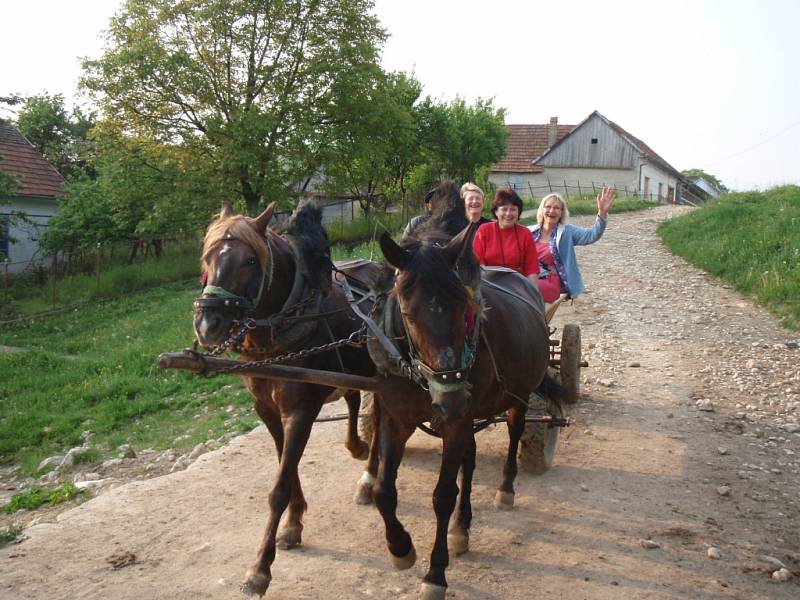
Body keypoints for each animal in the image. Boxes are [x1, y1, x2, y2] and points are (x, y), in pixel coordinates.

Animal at [194, 200, 382, 596]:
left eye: (250, 261)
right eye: (206, 257)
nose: (207, 325)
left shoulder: (300, 410)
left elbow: (279, 485)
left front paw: (259, 569)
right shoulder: (267, 410)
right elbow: (287, 465)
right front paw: (294, 524)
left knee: (382, 421)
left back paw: (369, 478)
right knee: (354, 400)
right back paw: (356, 445)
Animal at [364, 221, 556, 600]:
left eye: (463, 307)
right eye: (408, 314)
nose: (450, 398)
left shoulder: (456, 423)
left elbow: (442, 495)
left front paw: (435, 573)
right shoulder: (398, 419)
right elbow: (383, 490)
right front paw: (400, 547)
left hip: (516, 398)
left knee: (514, 433)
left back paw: (505, 489)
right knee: (470, 456)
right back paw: (461, 527)